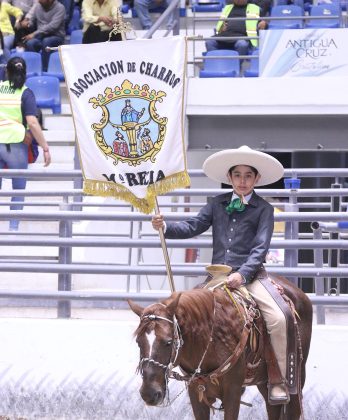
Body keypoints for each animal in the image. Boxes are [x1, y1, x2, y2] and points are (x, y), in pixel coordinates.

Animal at [128, 276, 312, 420]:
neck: (212, 338)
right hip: (264, 383)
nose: (149, 393)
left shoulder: (232, 393)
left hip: (297, 378)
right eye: (138, 342)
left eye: (168, 342)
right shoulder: (196, 393)